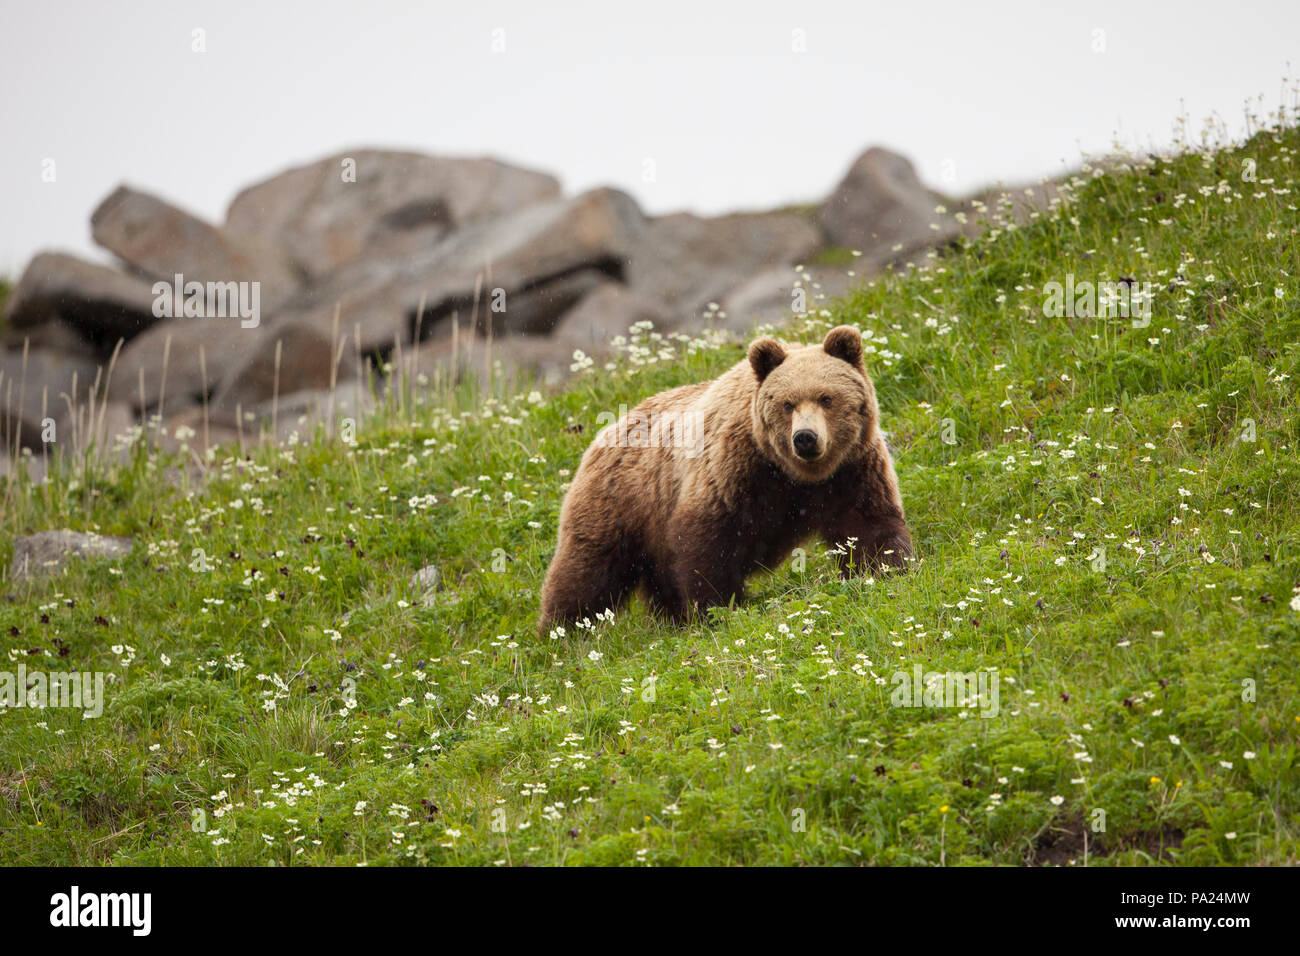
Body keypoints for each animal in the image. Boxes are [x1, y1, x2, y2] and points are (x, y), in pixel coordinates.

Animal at [538, 325, 915, 632]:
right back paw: (562, 633)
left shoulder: (851, 469)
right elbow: (708, 542)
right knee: (586, 573)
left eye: (826, 398)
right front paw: (719, 609)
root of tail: (603, 432)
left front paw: (885, 570)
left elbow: (868, 524)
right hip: (621, 505)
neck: (795, 475)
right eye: (787, 403)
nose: (806, 438)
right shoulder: (734, 472)